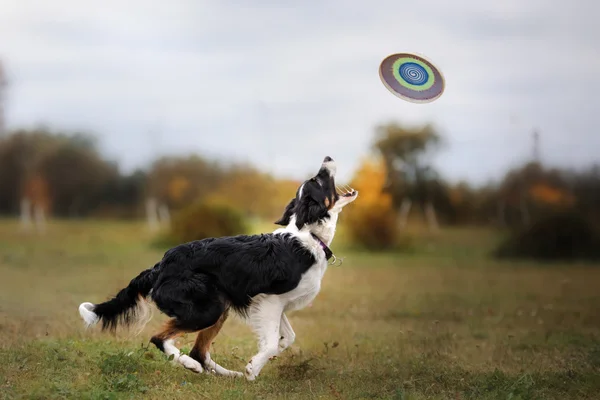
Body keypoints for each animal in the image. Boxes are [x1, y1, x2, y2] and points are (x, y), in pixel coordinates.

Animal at [75, 155, 356, 380]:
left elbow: (286, 338)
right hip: (208, 308)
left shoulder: (275, 304)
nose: (327, 158)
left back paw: (225, 374)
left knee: (199, 351)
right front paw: (253, 369)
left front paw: (261, 360)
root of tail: (160, 266)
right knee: (162, 339)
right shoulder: (270, 300)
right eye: (318, 180)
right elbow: (271, 342)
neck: (307, 236)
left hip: (219, 305)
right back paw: (190, 365)